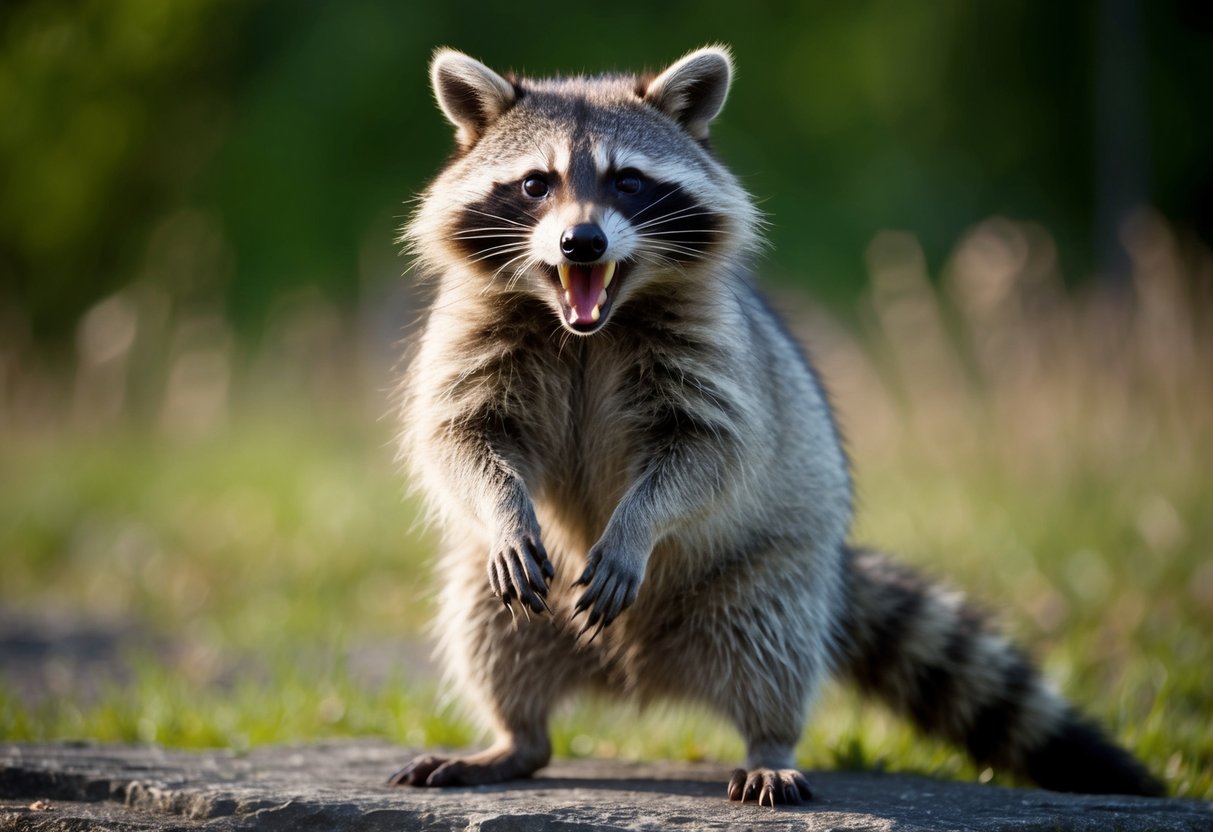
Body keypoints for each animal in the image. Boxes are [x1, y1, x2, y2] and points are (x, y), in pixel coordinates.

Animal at [390, 46, 1163, 805]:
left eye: (628, 182)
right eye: (535, 184)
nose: (581, 243)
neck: (585, 326)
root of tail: (635, 673)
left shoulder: (715, 354)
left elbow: (708, 453)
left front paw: (638, 522)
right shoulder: (472, 336)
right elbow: (460, 437)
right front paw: (503, 508)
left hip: (772, 571)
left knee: (771, 650)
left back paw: (769, 743)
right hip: (497, 589)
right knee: (489, 632)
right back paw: (513, 737)